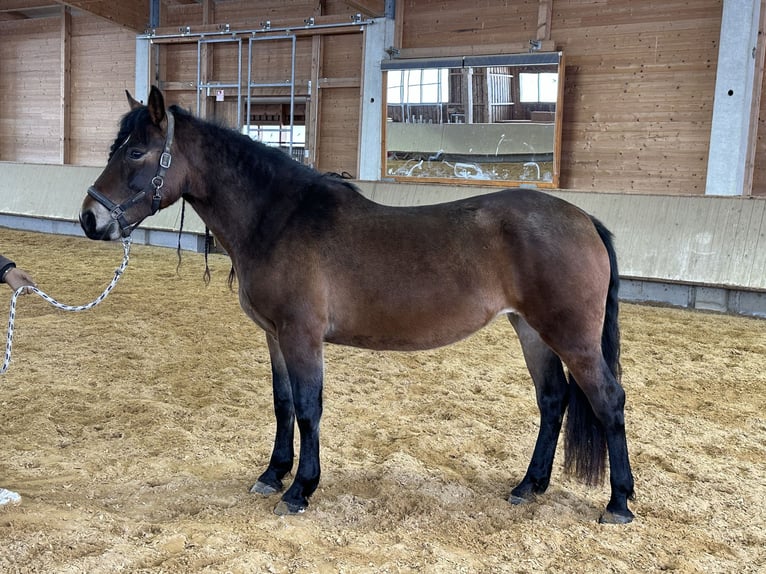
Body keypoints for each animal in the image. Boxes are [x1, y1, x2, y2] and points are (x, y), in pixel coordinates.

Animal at [79, 86, 635, 524]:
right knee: (553, 400)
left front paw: (300, 490)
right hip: (531, 331)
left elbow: (308, 408)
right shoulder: (275, 336)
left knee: (608, 400)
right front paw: (273, 474)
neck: (277, 219)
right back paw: (528, 486)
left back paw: (619, 503)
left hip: (572, 338)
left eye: (136, 152)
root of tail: (584, 219)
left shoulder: (301, 336)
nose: (89, 219)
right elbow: (283, 405)